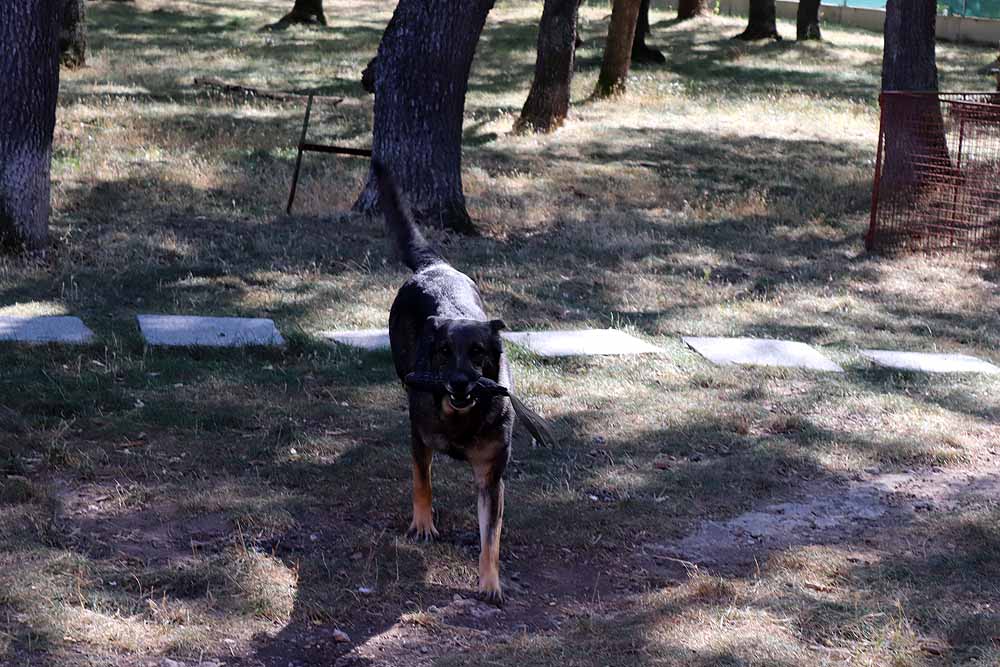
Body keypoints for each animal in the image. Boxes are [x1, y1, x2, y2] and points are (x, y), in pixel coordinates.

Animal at [374, 160, 552, 604]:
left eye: (477, 354)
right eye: (442, 352)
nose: (457, 384)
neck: (460, 418)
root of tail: (433, 267)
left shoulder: (491, 478)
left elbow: (491, 536)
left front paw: (490, 582)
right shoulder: (420, 437)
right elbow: (422, 478)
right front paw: (423, 523)